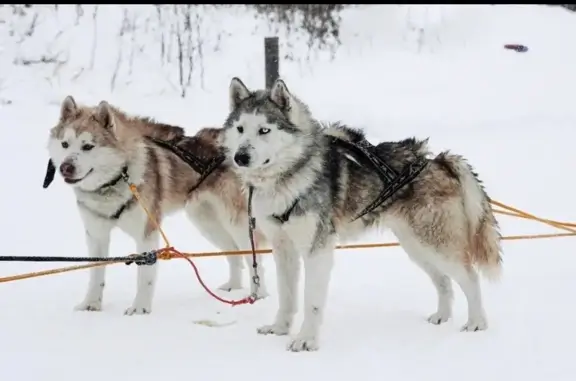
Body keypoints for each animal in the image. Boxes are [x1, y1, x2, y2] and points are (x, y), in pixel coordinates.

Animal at [44, 95, 268, 314]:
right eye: (65, 144)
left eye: (88, 146)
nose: (65, 167)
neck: (117, 177)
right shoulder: (96, 234)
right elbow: (96, 272)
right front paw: (91, 303)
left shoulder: (147, 233)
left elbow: (145, 277)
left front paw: (140, 308)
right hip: (205, 221)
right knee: (234, 253)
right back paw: (233, 287)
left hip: (236, 223)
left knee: (253, 258)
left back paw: (259, 295)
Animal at [223, 76, 502, 350]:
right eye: (240, 129)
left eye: (264, 130)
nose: (240, 157)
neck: (290, 177)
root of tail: (437, 161)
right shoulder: (284, 249)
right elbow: (287, 295)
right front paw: (280, 329)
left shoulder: (316, 250)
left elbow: (311, 301)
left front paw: (306, 340)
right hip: (416, 247)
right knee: (443, 281)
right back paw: (442, 316)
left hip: (435, 244)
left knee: (470, 277)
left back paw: (477, 322)